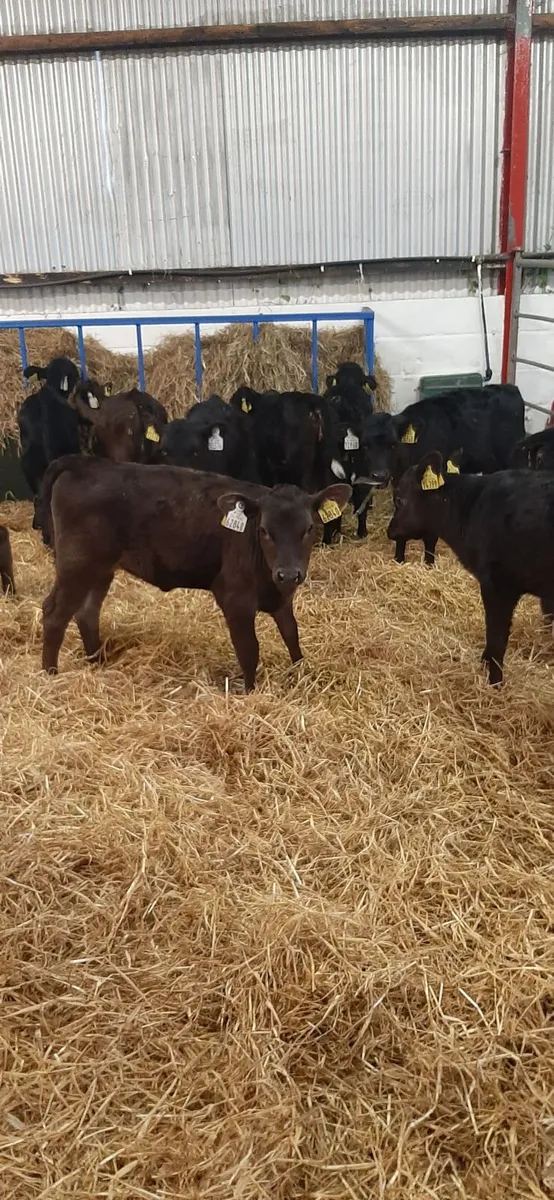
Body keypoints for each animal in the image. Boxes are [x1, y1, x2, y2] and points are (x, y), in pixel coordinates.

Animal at [39, 455, 351, 690]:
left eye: (309, 528)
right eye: (264, 530)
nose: (288, 574)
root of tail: (85, 463)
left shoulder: (282, 597)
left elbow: (292, 635)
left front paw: (301, 674)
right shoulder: (234, 598)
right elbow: (249, 649)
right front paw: (250, 692)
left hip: (100, 569)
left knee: (86, 612)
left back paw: (96, 661)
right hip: (77, 564)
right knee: (55, 613)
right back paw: (50, 674)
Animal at [360, 384, 525, 564]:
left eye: (392, 445)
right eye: (365, 445)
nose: (379, 475)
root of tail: (510, 387)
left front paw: (428, 562)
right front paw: (399, 559)